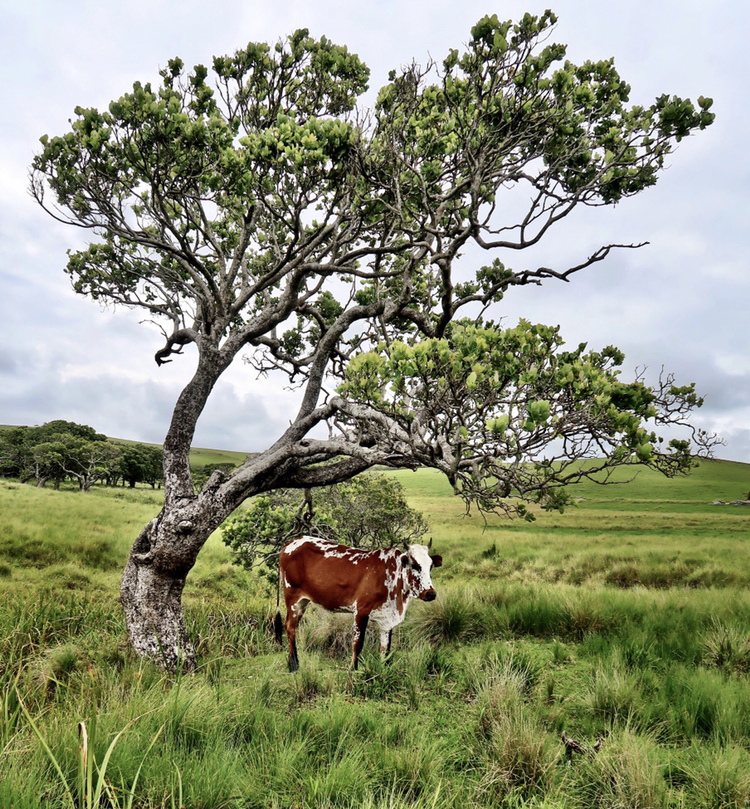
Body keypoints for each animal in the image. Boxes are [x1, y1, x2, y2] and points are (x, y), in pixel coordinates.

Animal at [274, 532, 440, 672]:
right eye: (415, 565)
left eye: (431, 566)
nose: (431, 593)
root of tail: (291, 543)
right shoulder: (361, 611)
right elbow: (358, 643)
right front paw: (353, 670)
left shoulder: (387, 619)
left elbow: (385, 648)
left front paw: (383, 670)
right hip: (293, 598)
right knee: (290, 627)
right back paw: (293, 665)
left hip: (303, 601)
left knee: (293, 627)